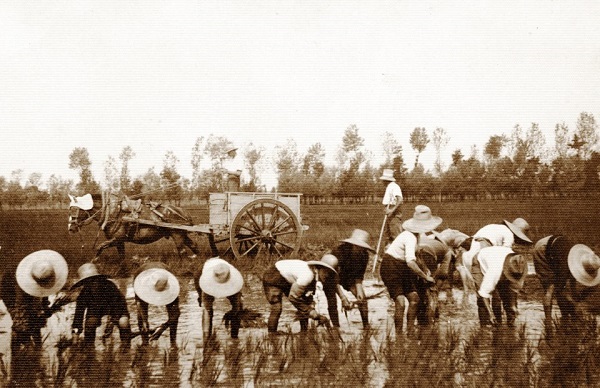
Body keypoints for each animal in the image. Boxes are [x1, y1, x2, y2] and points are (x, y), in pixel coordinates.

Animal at [68, 192, 204, 262]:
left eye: (74, 209)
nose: (70, 228)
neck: (112, 212)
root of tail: (183, 211)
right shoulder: (119, 242)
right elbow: (121, 257)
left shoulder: (117, 239)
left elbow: (99, 247)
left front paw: (93, 262)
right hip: (182, 234)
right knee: (193, 246)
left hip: (177, 235)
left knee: (182, 252)